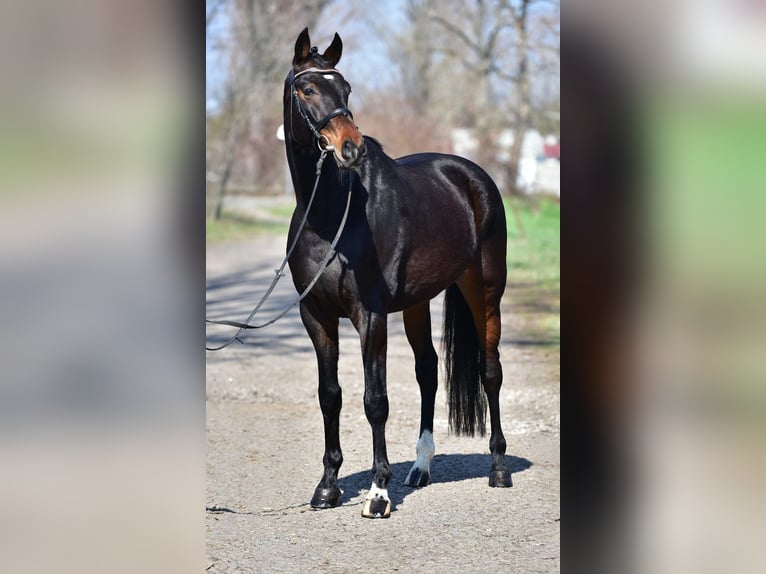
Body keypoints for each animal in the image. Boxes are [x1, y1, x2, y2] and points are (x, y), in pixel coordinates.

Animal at [284, 28, 512, 519]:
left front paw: (378, 493)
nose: (351, 148)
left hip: (484, 291)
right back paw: (421, 468)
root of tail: (472, 175)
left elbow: (375, 400)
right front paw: (328, 488)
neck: (331, 214)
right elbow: (330, 395)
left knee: (490, 372)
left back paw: (499, 468)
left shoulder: (369, 315)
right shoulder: (316, 316)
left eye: (346, 88)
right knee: (428, 370)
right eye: (307, 88)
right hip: (417, 303)